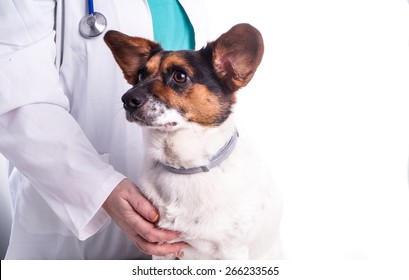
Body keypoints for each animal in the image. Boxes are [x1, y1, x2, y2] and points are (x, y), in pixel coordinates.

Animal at [103, 23, 282, 260]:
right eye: (141, 75)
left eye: (180, 76)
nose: (127, 99)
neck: (186, 167)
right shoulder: (162, 248)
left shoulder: (232, 251)